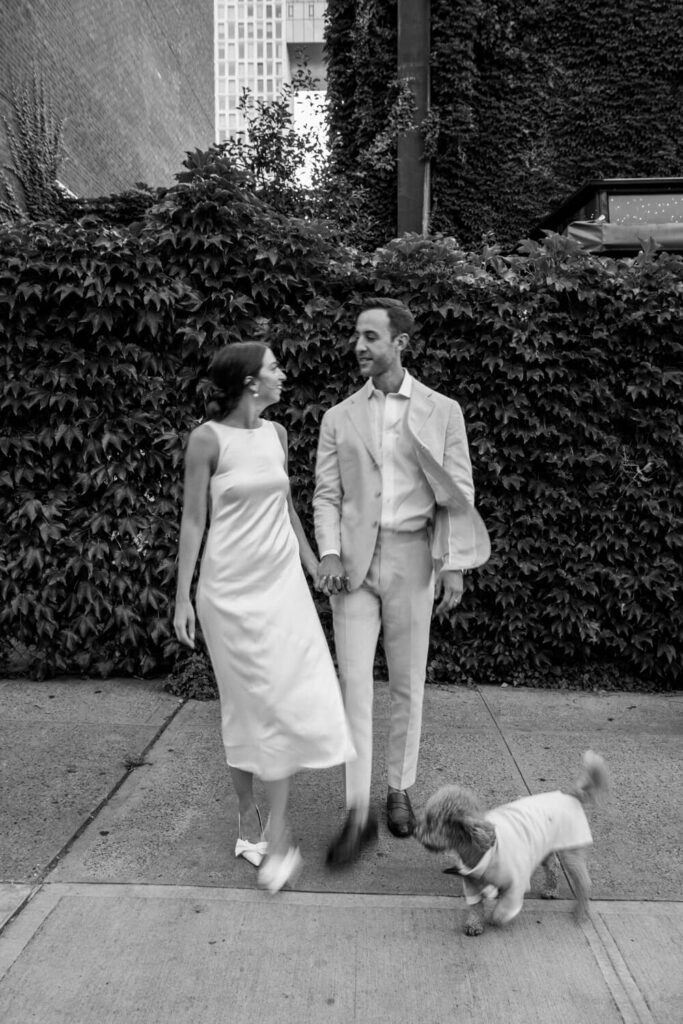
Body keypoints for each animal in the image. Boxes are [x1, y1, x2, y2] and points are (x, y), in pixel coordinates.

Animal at [417, 749, 610, 933]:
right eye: (427, 818)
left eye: (432, 822)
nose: (415, 829)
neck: (480, 848)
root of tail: (571, 796)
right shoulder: (471, 884)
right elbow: (476, 907)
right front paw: (474, 924)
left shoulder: (516, 885)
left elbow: (503, 909)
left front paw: (495, 919)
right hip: (545, 846)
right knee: (553, 866)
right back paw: (551, 890)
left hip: (571, 852)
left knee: (583, 881)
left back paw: (581, 911)